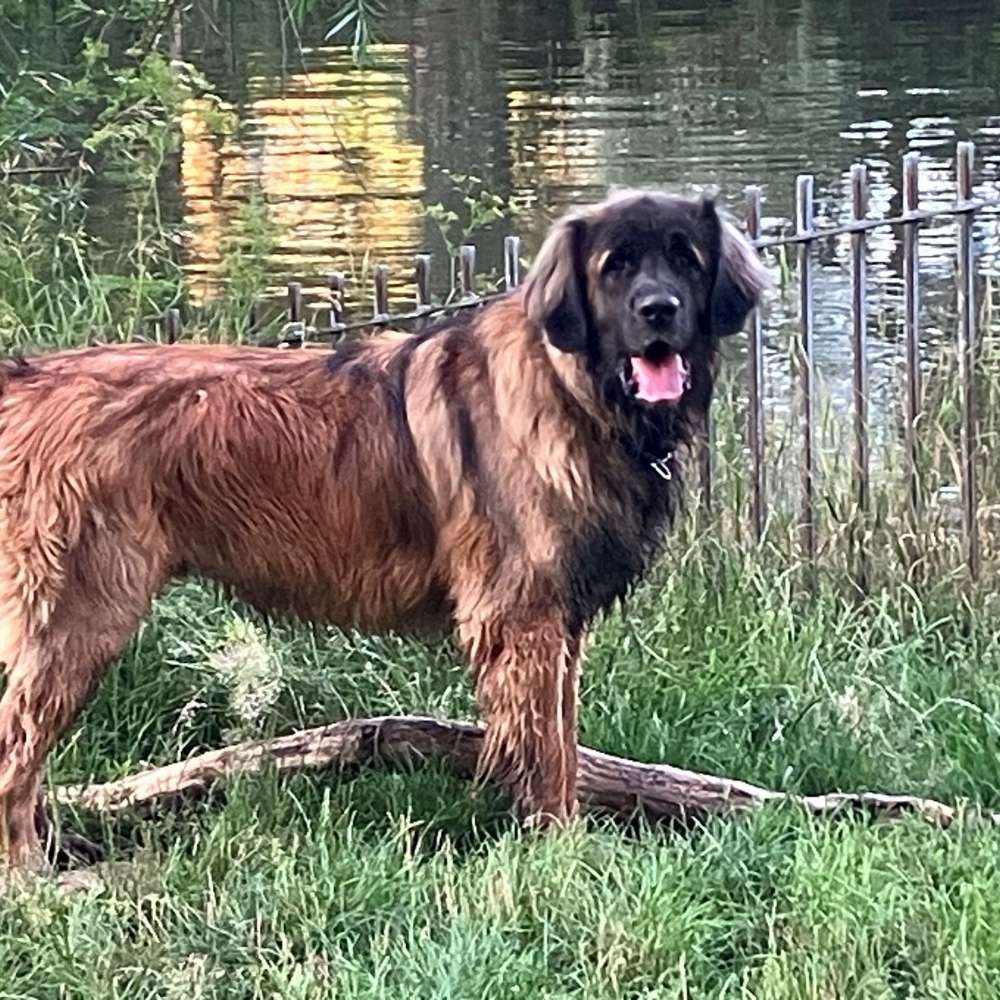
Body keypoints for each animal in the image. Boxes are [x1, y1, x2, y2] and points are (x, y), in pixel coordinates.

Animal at [0, 191, 764, 872]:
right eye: (616, 266)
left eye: (685, 259)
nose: (659, 310)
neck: (574, 392)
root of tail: (25, 380)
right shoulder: (523, 621)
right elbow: (546, 753)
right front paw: (560, 851)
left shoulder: (558, 624)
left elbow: (565, 744)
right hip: (80, 612)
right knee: (16, 750)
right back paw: (32, 874)